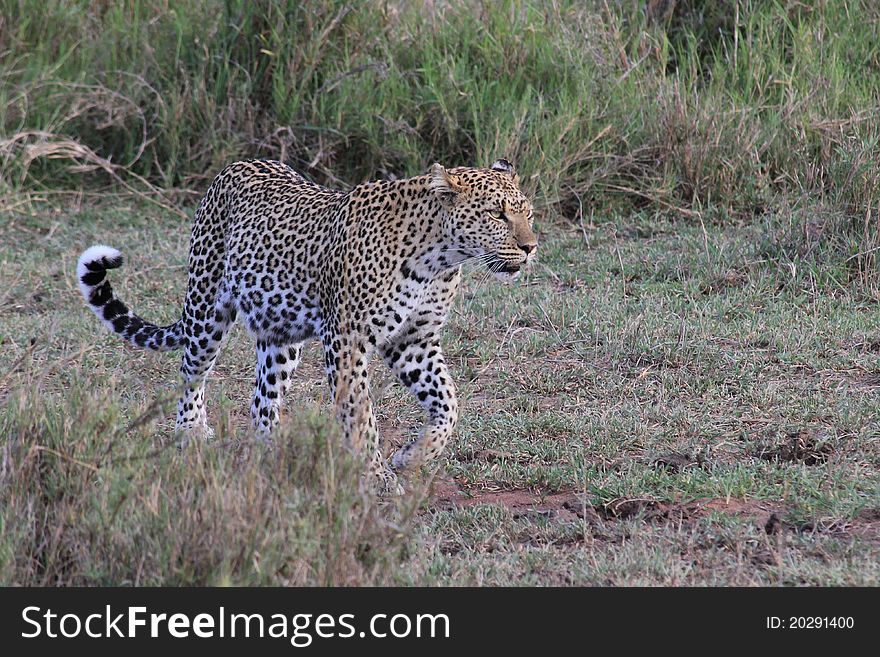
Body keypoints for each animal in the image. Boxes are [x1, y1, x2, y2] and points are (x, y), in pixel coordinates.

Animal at [77, 159, 536, 492]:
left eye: (528, 213)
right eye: (497, 214)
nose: (531, 247)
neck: (438, 257)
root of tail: (232, 166)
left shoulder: (414, 340)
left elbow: (448, 404)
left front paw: (412, 456)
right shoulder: (348, 339)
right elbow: (360, 414)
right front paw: (377, 476)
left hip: (281, 337)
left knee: (262, 402)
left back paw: (271, 456)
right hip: (207, 307)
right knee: (191, 372)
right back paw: (190, 432)